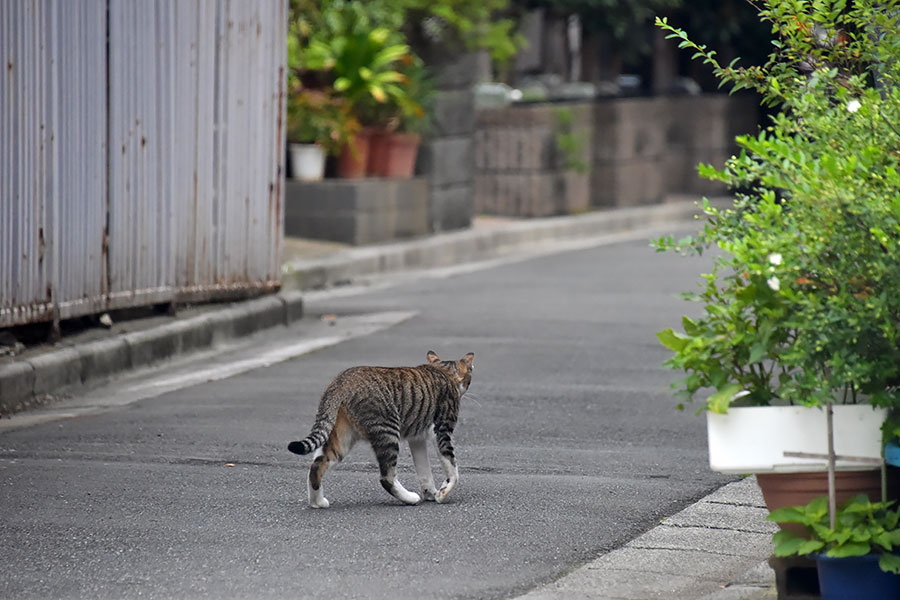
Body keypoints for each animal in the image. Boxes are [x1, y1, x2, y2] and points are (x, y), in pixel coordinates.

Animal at [288, 350, 474, 508]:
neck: (443, 370)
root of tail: (340, 381)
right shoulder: (442, 430)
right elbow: (452, 467)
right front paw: (442, 494)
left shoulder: (417, 438)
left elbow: (424, 470)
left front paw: (431, 493)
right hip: (388, 430)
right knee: (387, 477)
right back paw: (409, 498)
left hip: (342, 437)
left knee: (316, 466)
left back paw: (317, 502)